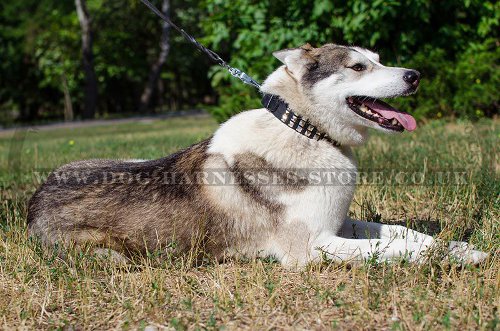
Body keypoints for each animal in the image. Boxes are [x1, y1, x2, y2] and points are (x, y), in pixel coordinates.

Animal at [26, 43, 488, 268]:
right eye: (358, 67)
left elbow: (403, 233)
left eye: (379, 60)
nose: (415, 76)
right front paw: (458, 257)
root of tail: (33, 201)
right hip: (112, 256)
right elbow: (396, 250)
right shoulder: (311, 248)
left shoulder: (337, 222)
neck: (305, 130)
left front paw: (456, 245)